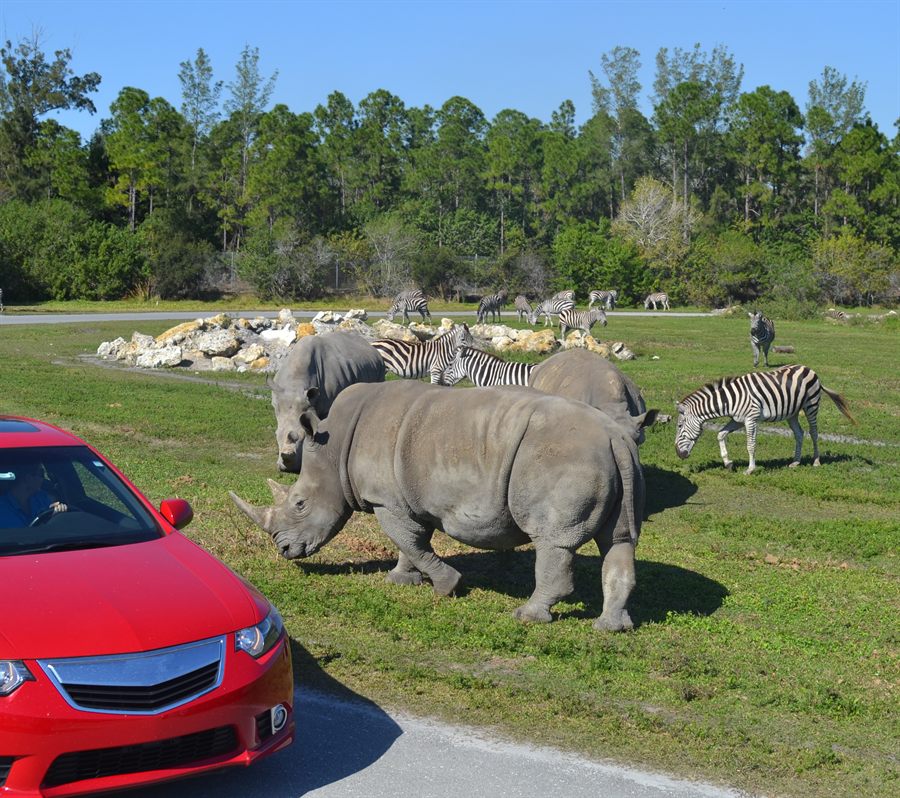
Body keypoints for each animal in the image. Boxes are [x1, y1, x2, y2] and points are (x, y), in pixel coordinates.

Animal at [232, 380, 645, 631]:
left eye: (300, 504)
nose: (284, 549)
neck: (333, 450)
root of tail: (616, 437)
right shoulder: (406, 497)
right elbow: (412, 541)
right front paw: (402, 579)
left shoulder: (386, 499)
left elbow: (409, 540)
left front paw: (447, 586)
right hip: (610, 460)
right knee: (619, 540)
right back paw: (611, 628)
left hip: (564, 459)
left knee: (552, 540)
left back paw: (526, 617)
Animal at [271, 332, 385, 472]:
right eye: (276, 435)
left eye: (303, 437)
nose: (287, 469)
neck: (296, 386)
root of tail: (370, 346)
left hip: (380, 367)